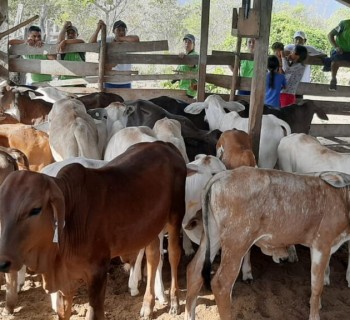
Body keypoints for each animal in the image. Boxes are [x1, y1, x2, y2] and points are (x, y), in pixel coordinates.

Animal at [0, 142, 186, 320]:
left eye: (35, 209)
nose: (4, 261)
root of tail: (164, 145)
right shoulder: (65, 281)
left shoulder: (98, 271)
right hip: (152, 227)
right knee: (153, 257)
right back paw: (147, 306)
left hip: (176, 215)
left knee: (174, 254)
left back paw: (174, 302)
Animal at [186, 168, 350, 320]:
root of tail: (222, 175)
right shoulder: (322, 244)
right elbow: (317, 286)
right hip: (237, 242)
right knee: (221, 284)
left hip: (212, 235)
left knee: (194, 271)